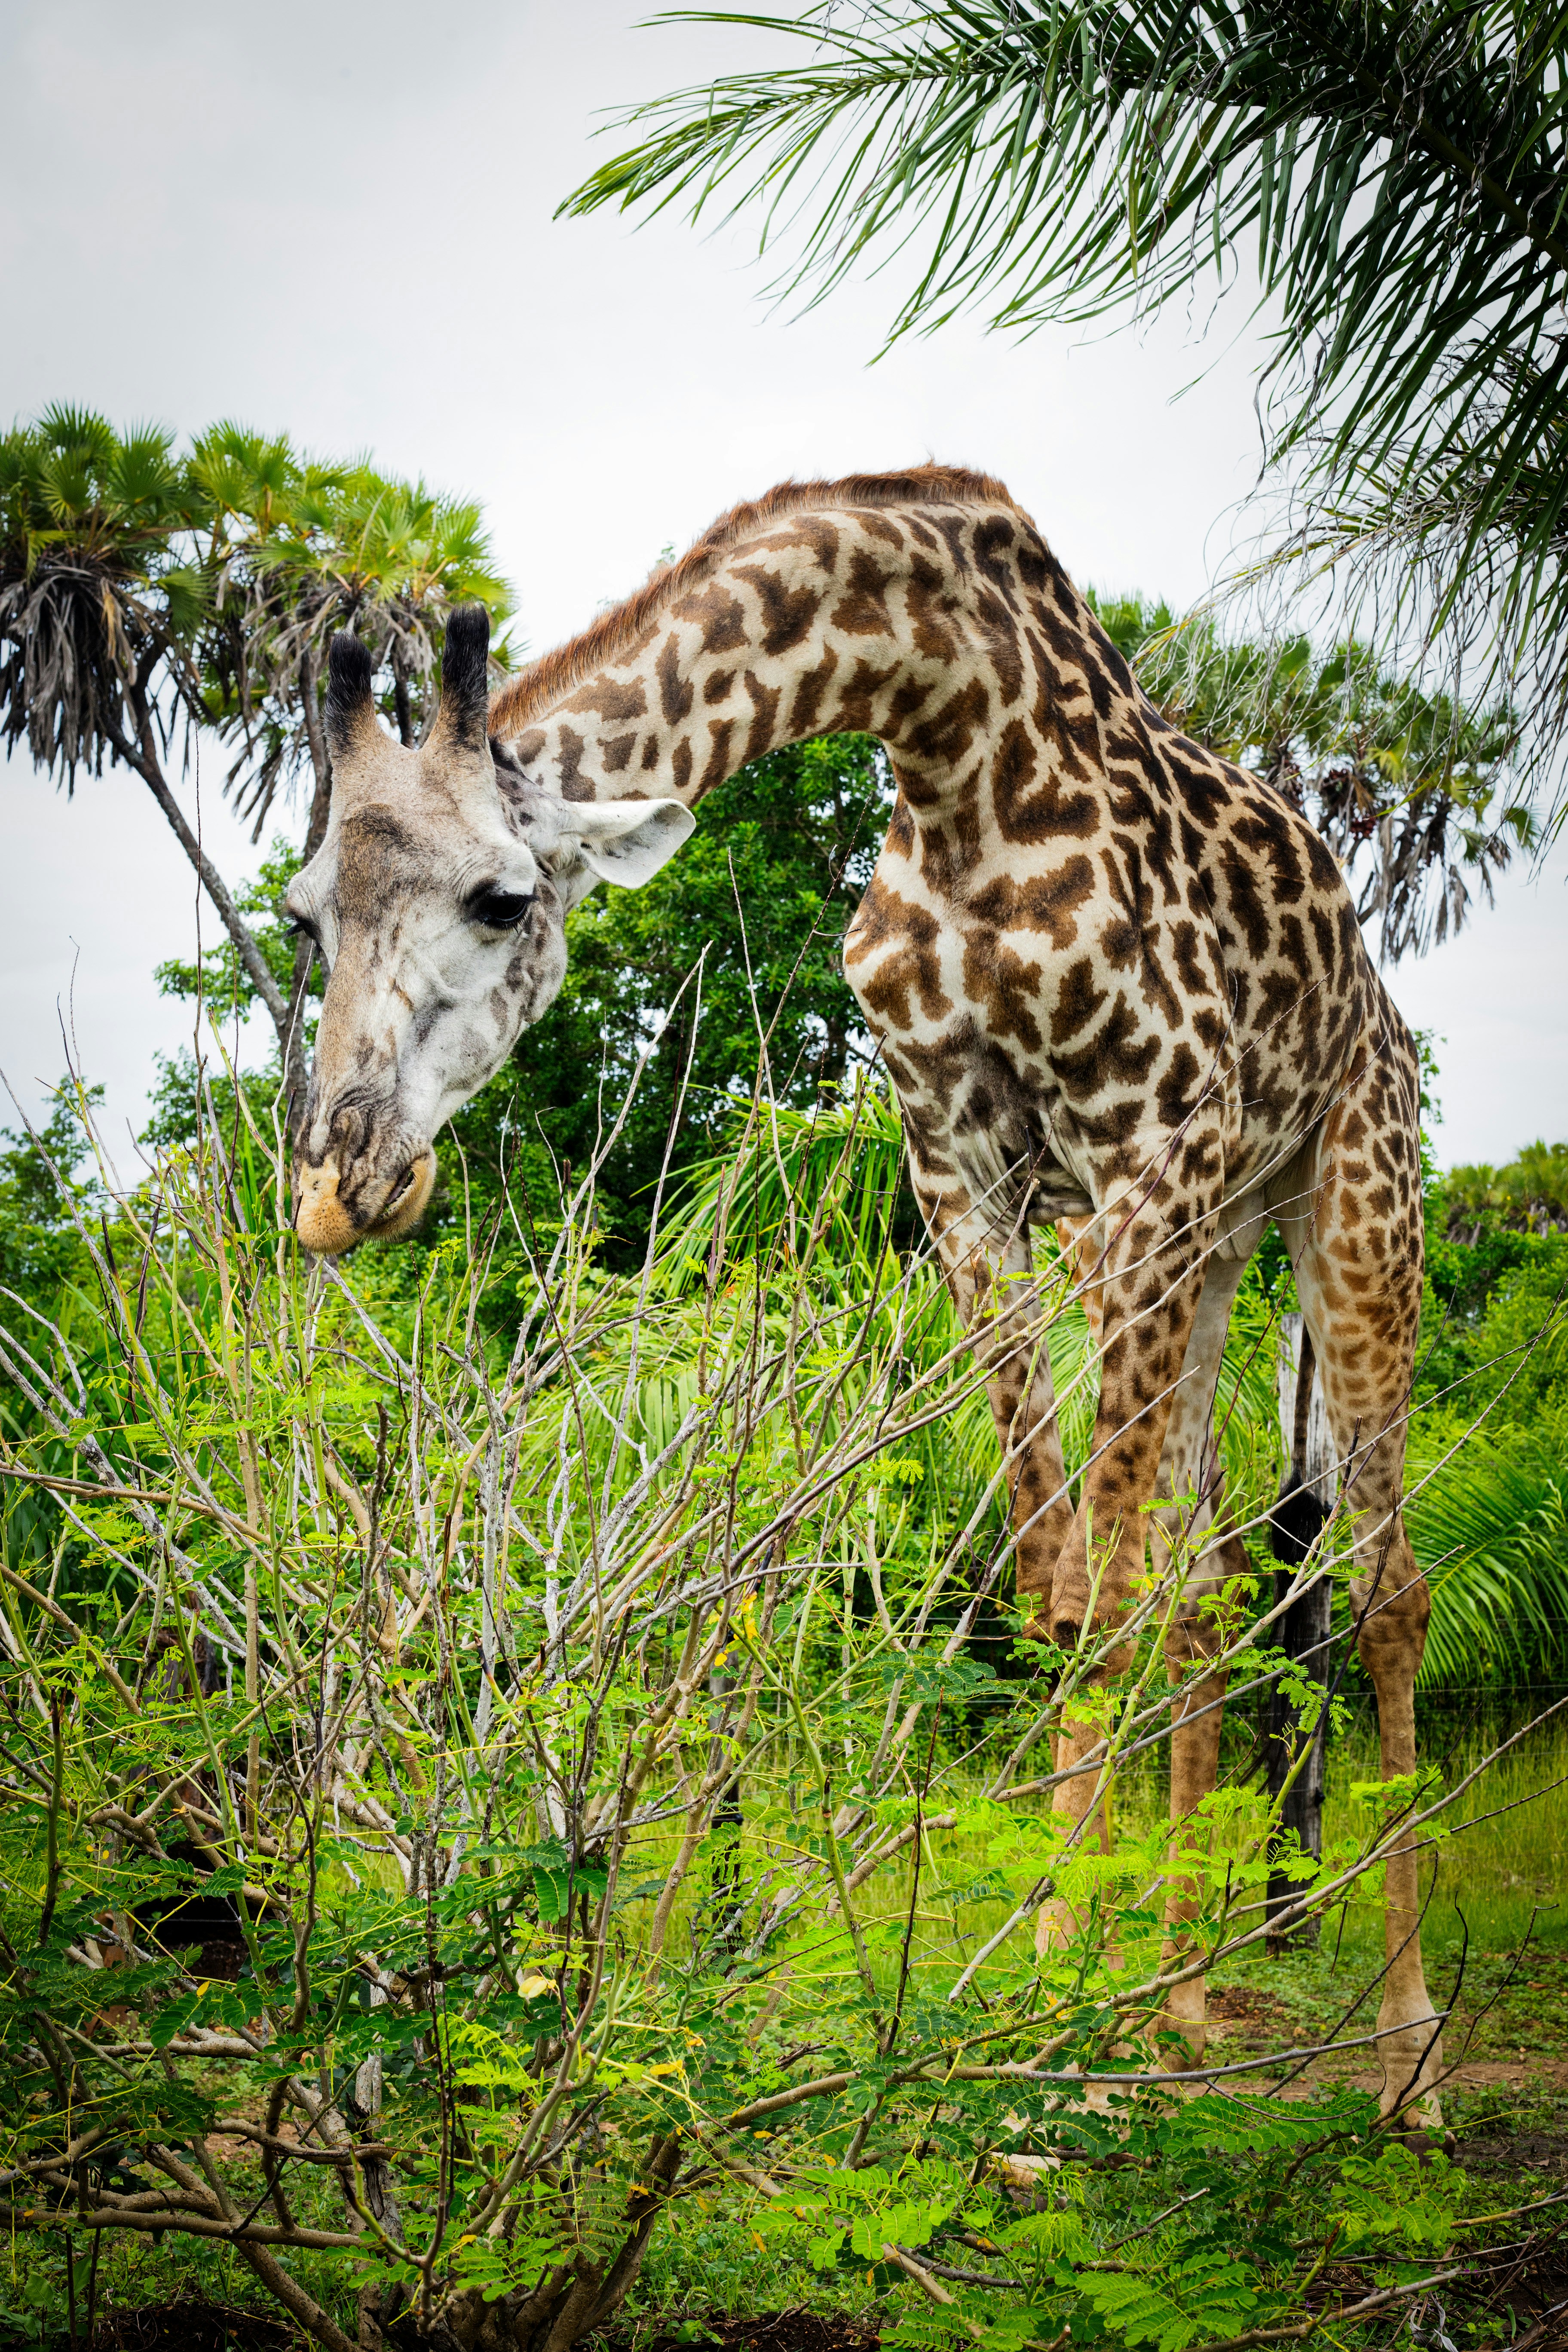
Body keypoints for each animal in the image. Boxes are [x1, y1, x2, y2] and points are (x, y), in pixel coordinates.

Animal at [287, 466, 1442, 2125]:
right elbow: (1065, 1586)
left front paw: (1050, 2023)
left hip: (1343, 1195)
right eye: (305, 916)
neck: (950, 729)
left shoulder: (1146, 1142)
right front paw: (1073, 2002)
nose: (345, 1176)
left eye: (503, 900)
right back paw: (1176, 1995)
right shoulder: (960, 1169)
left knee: (1382, 1583)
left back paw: (1403, 2043)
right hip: (1211, 1240)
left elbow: (1096, 1607)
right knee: (1205, 1582)